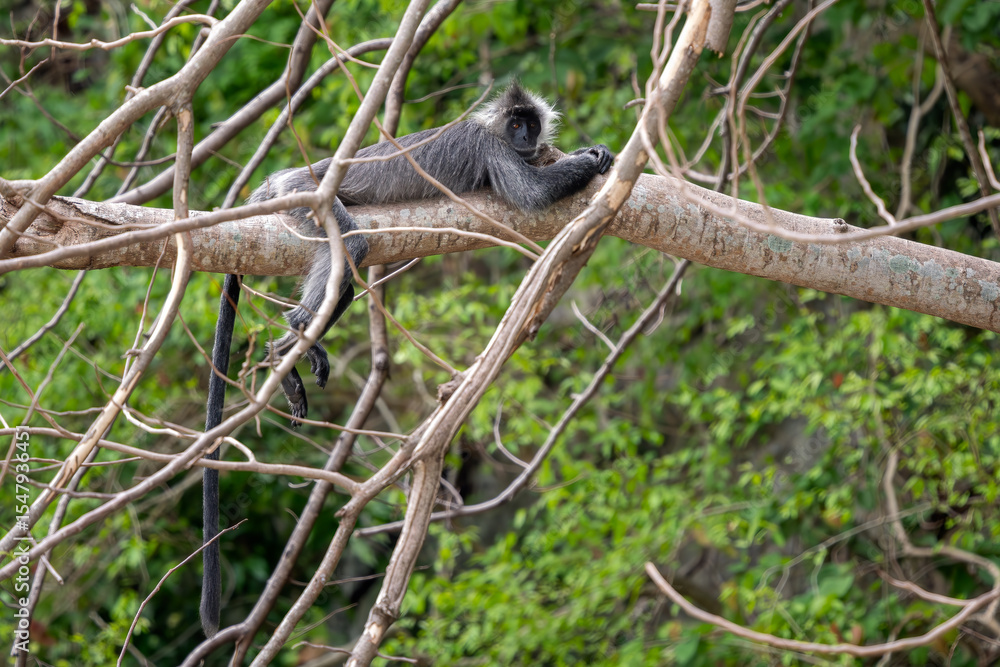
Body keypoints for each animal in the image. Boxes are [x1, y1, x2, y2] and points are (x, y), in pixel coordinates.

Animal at [199, 82, 613, 636]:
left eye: (530, 123)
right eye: (515, 125)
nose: (527, 138)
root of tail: (276, 180)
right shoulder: (490, 147)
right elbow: (530, 194)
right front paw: (591, 159)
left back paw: (285, 349)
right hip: (306, 197)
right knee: (352, 243)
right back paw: (294, 336)